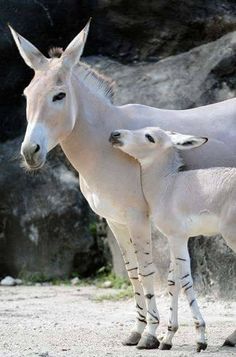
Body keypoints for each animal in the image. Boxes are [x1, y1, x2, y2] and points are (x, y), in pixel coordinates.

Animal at [110, 127, 236, 350]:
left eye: (149, 137)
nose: (115, 134)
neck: (167, 186)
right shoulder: (176, 238)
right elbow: (173, 282)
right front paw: (168, 338)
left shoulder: (177, 238)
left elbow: (186, 281)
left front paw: (200, 337)